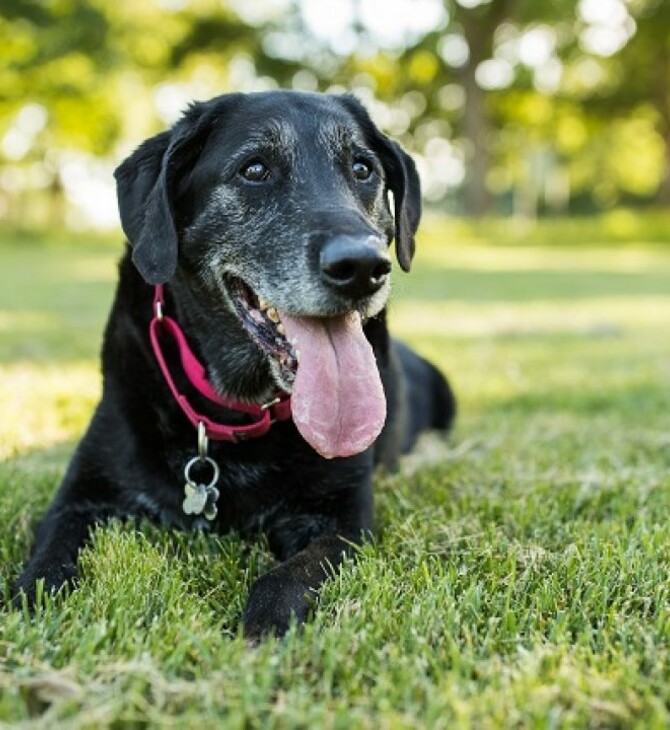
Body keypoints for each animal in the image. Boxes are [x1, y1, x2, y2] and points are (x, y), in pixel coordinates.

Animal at [14, 91, 456, 636]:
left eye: (362, 168)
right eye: (255, 169)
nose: (362, 267)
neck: (235, 410)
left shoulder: (346, 521)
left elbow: (287, 577)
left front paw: (262, 629)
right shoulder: (79, 495)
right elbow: (47, 562)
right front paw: (32, 602)